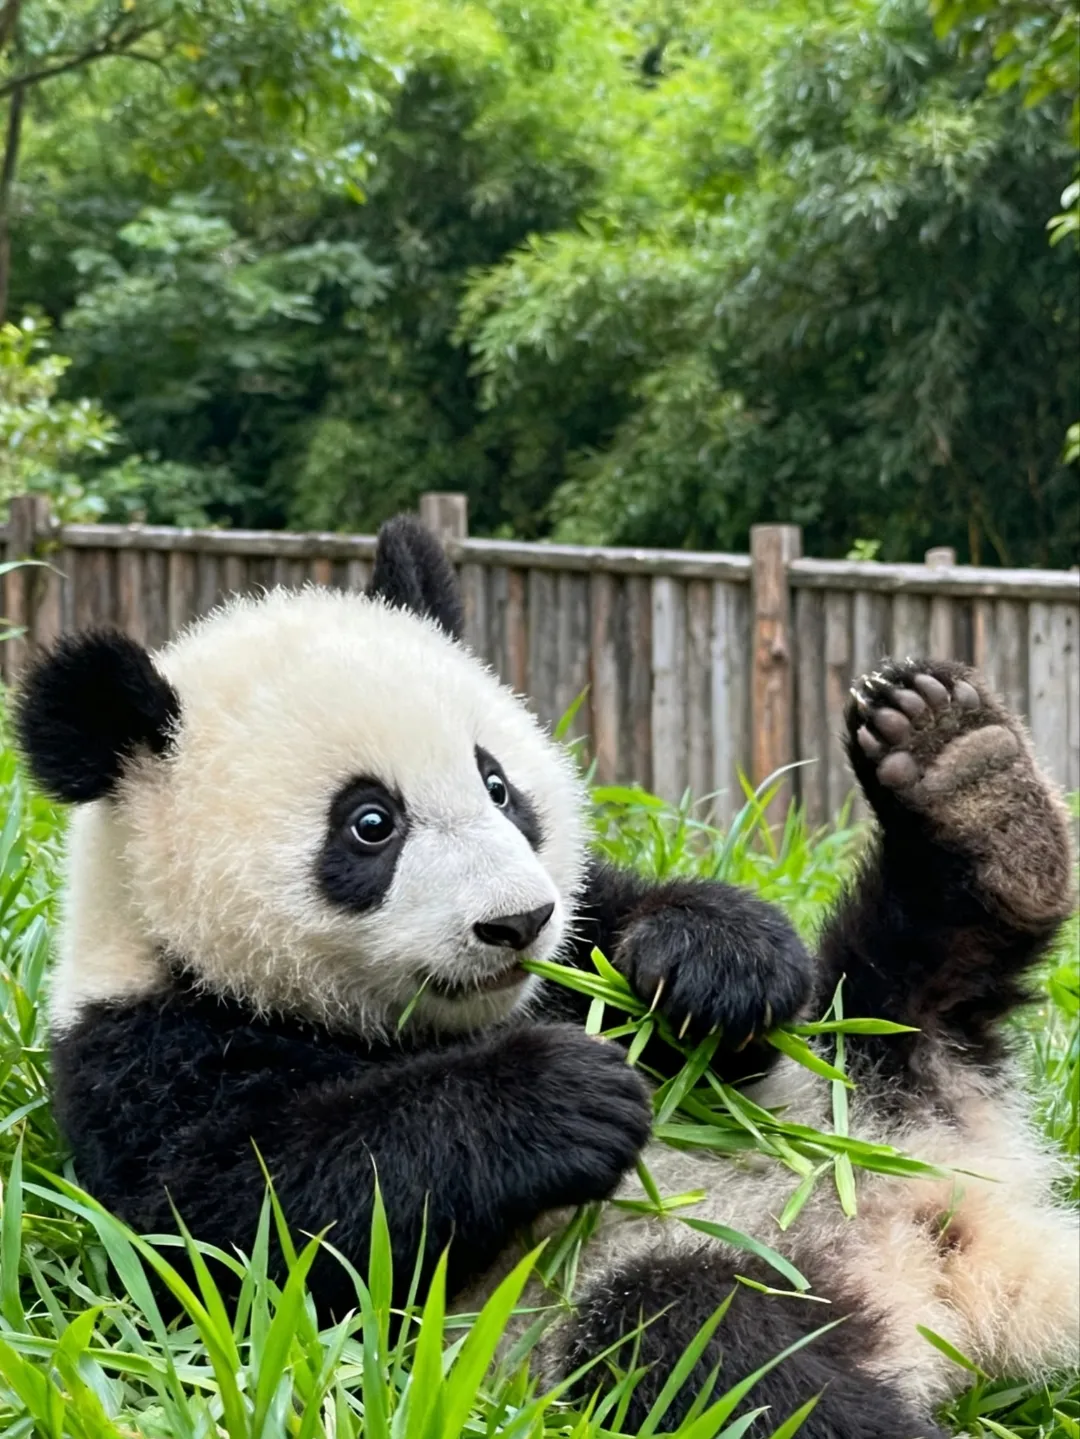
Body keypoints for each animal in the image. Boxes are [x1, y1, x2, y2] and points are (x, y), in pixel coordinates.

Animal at [14, 516, 1079, 1438]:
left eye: (499, 786)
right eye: (370, 823)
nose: (515, 922)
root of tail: (947, 1256)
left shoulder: (581, 934)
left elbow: (658, 946)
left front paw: (712, 963)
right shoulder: (143, 1053)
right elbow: (250, 1223)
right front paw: (561, 1093)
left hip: (857, 1081)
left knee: (896, 990)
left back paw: (967, 777)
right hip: (658, 1288)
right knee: (715, 1352)